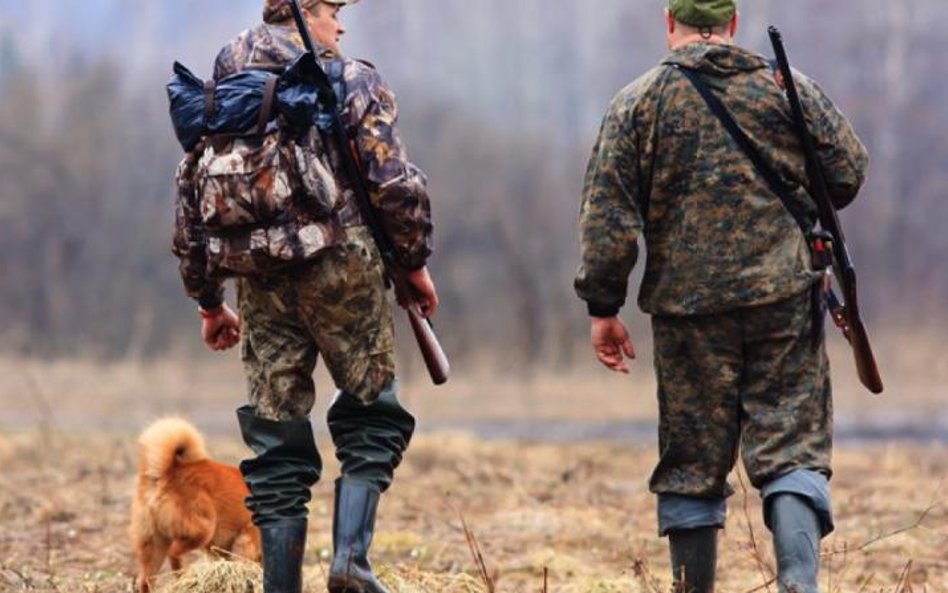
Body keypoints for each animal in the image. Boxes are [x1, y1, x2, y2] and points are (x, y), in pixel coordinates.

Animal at [130, 416, 262, 592]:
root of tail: (168, 471)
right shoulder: (247, 540)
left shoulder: (221, 551)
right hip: (202, 529)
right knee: (174, 554)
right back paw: (183, 577)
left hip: (154, 544)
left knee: (145, 580)